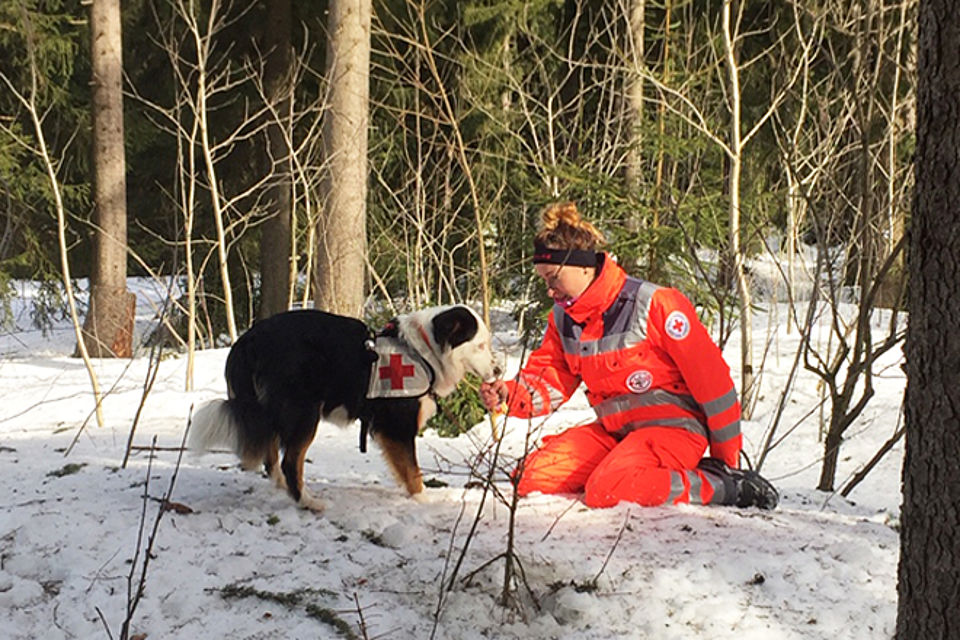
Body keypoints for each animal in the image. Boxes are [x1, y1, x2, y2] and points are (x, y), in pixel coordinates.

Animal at [188, 304, 502, 510]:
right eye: (480, 346)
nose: (499, 371)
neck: (423, 353)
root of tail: (247, 340)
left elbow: (403, 468)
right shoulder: (397, 426)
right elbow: (413, 470)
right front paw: (422, 501)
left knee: (271, 455)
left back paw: (282, 488)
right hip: (303, 412)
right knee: (290, 461)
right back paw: (307, 502)